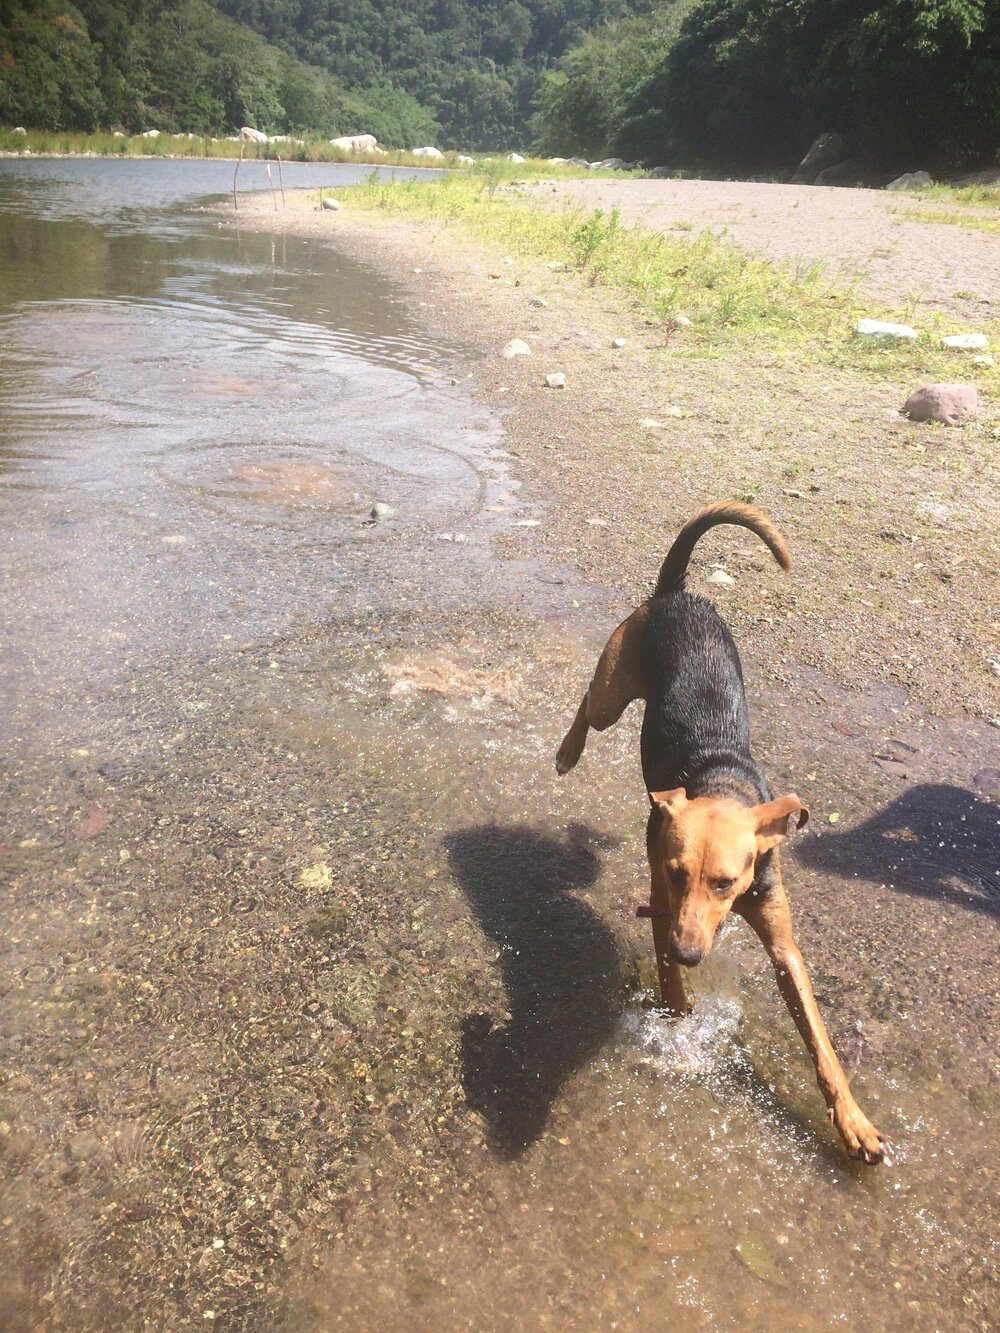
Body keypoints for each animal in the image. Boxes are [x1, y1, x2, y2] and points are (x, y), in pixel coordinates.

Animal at [560, 503, 890, 1162]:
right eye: (676, 873)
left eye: (727, 882)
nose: (692, 953)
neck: (719, 780)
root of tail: (677, 593)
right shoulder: (662, 904)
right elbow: (668, 983)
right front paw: (679, 1027)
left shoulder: (783, 945)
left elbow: (820, 1042)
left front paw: (853, 1122)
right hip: (614, 689)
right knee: (587, 702)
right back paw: (566, 752)